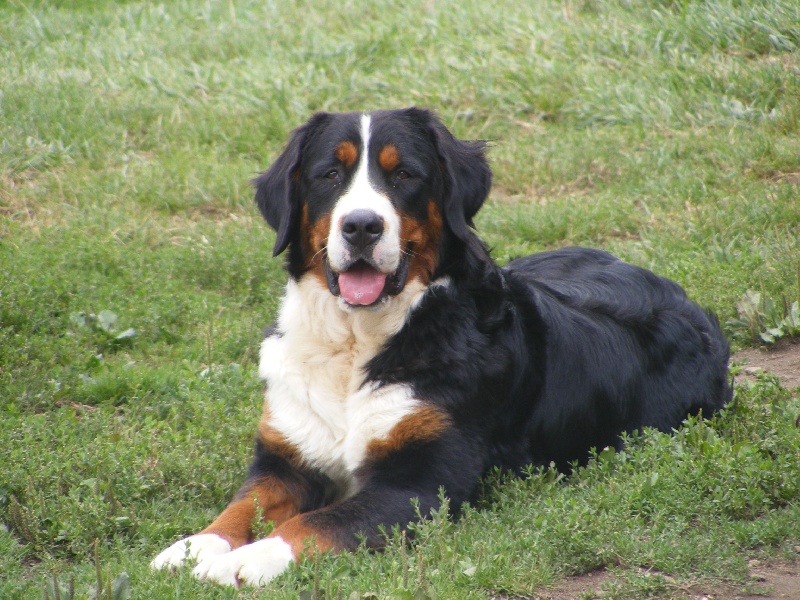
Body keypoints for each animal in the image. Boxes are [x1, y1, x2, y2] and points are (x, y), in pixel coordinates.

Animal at [150, 106, 732, 584]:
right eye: (330, 175)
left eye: (404, 174)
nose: (361, 225)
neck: (357, 343)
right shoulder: (285, 457)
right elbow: (241, 506)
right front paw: (192, 547)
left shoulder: (419, 484)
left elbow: (316, 522)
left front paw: (246, 560)